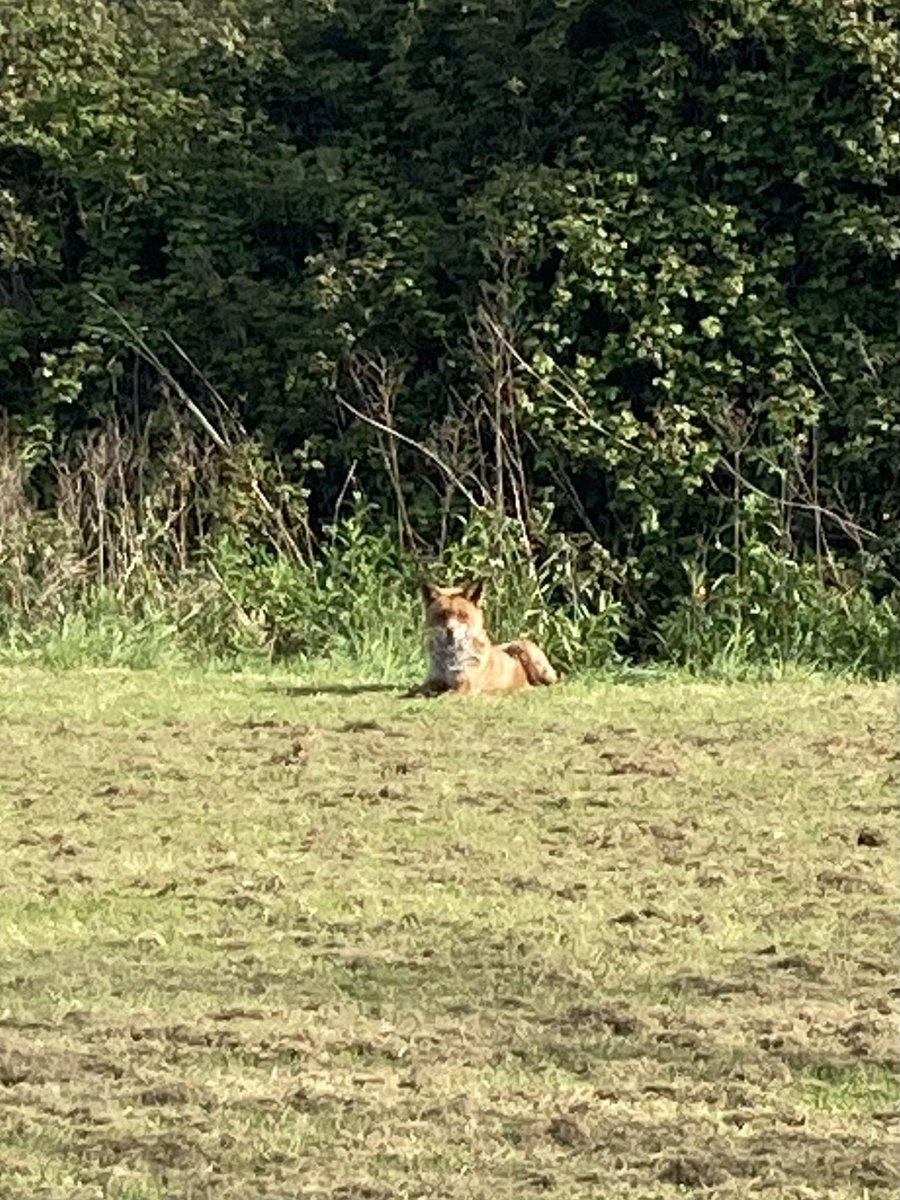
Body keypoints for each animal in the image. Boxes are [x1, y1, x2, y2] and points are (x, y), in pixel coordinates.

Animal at [414, 579, 558, 696]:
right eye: (442, 615)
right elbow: (415, 691)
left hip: (525, 651)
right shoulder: (434, 680)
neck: (450, 660)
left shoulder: (466, 685)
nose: (450, 631)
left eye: (462, 615)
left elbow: (444, 695)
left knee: (548, 685)